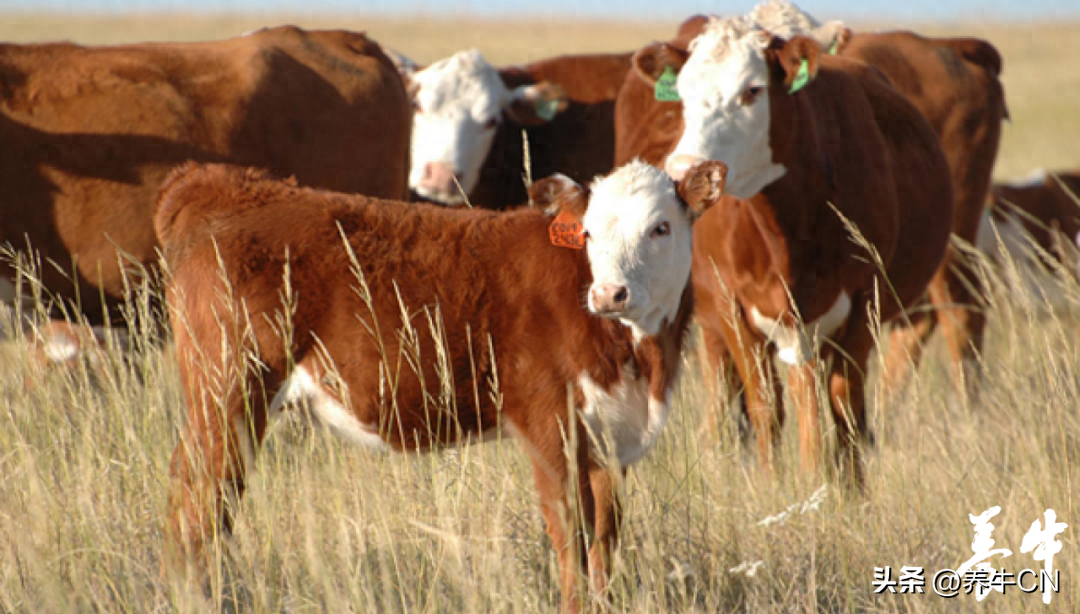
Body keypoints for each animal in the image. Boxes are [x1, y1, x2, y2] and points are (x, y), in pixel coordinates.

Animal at [156, 157, 730, 608]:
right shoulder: (549, 427)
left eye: (661, 228)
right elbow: (570, 532)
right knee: (204, 498)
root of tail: (222, 183)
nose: (610, 293)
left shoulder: (610, 440)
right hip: (228, 390)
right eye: (588, 233)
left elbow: (604, 540)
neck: (639, 361)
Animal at [635, 16, 950, 481]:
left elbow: (843, 406)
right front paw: (776, 486)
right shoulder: (733, 311)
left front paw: (842, 489)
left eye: (752, 90)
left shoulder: (863, 306)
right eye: (685, 93)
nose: (682, 169)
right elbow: (766, 406)